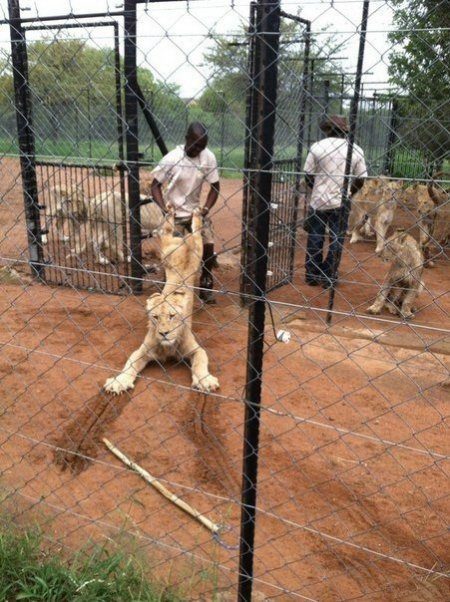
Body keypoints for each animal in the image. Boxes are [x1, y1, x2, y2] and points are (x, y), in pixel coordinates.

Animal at [103, 206, 220, 394]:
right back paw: (171, 213)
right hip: (166, 250)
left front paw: (205, 381)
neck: (168, 346)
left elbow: (201, 361)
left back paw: (195, 215)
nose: (164, 333)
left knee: (196, 231)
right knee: (166, 231)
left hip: (197, 249)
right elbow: (130, 364)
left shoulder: (196, 349)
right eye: (155, 317)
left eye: (172, 316)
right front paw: (119, 381)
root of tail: (183, 240)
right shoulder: (143, 350)